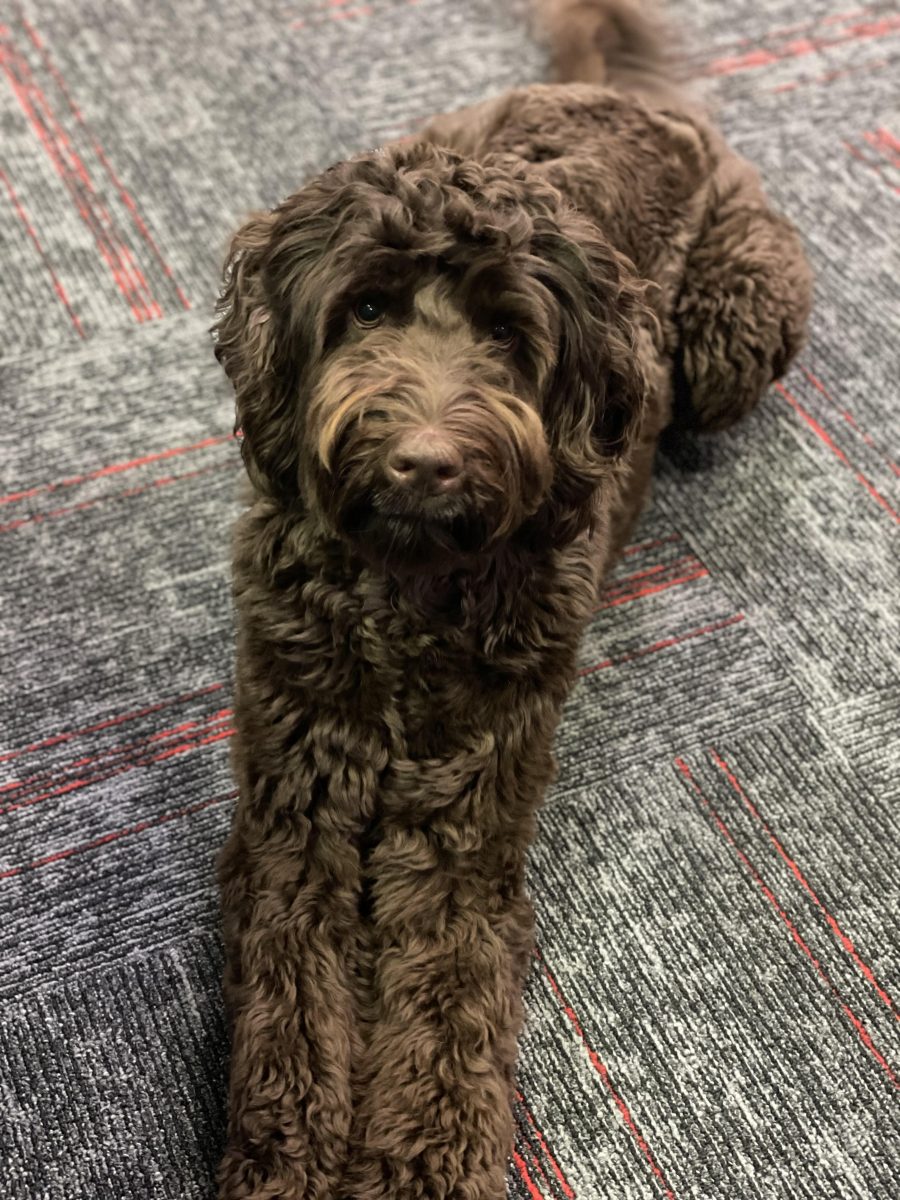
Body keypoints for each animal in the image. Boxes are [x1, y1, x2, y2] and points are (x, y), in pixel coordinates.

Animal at [213, 4, 816, 1195]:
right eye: (364, 307)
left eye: (505, 332)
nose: (425, 460)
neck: (404, 595)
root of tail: (626, 100)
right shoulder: (295, 800)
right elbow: (290, 992)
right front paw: (286, 1153)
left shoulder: (465, 820)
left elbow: (449, 995)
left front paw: (422, 1162)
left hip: (737, 315)